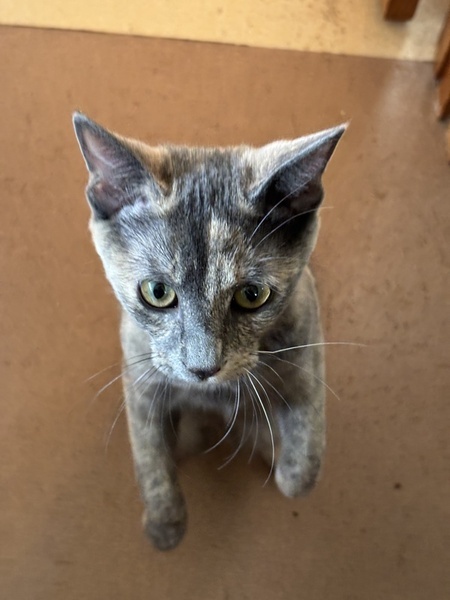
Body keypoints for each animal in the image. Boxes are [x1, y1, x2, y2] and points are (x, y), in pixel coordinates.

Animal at [73, 113, 345, 551]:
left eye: (253, 295)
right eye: (157, 292)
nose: (203, 368)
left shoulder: (306, 349)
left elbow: (306, 456)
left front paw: (289, 473)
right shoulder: (140, 377)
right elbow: (149, 453)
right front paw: (165, 524)